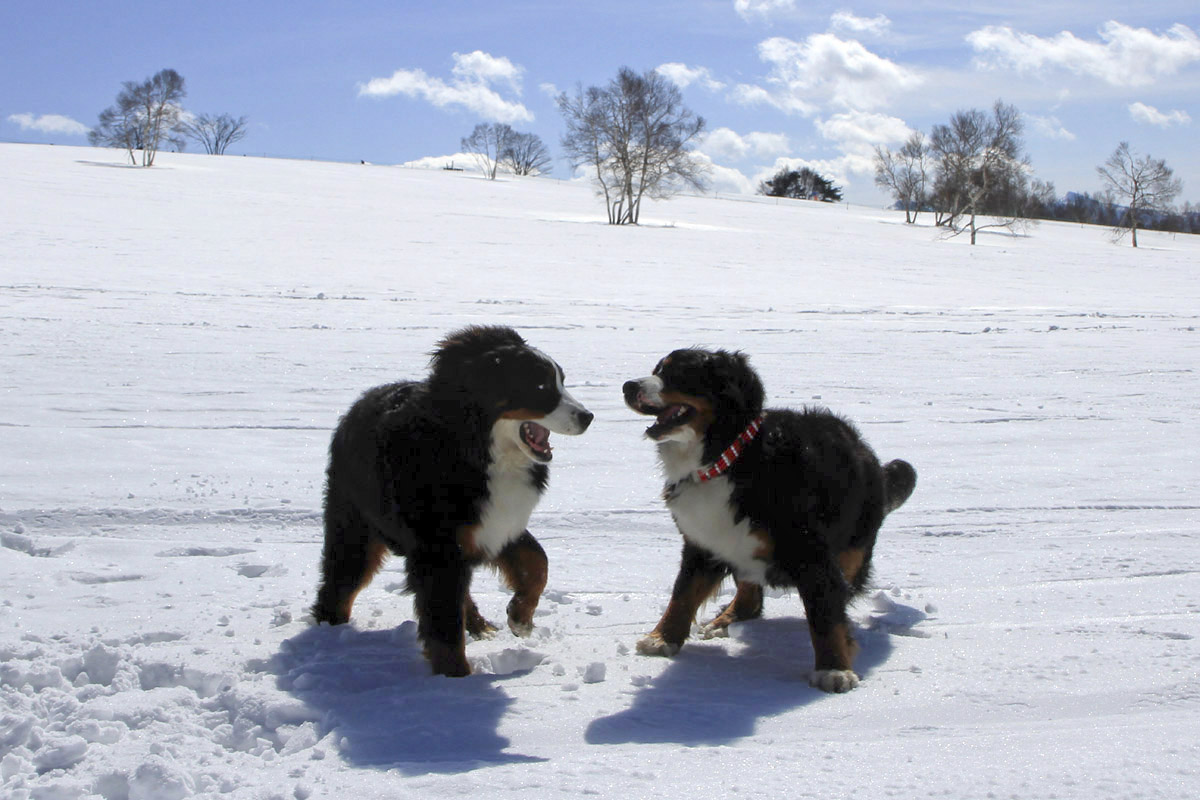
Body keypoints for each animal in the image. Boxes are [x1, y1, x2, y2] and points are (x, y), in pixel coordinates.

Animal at [309, 326, 590, 676]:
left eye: (560, 380)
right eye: (540, 385)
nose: (588, 416)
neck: (478, 450)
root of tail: (354, 409)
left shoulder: (495, 525)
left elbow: (538, 562)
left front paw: (520, 617)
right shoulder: (438, 546)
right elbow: (444, 623)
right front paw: (455, 681)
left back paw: (480, 624)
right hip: (356, 528)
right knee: (340, 583)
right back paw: (329, 635)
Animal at [624, 350, 912, 695]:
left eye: (679, 373)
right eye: (656, 369)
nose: (628, 386)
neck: (724, 461)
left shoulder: (810, 550)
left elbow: (825, 614)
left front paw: (834, 669)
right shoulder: (703, 543)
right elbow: (682, 595)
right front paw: (661, 639)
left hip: (853, 549)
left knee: (843, 583)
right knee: (750, 595)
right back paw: (726, 620)